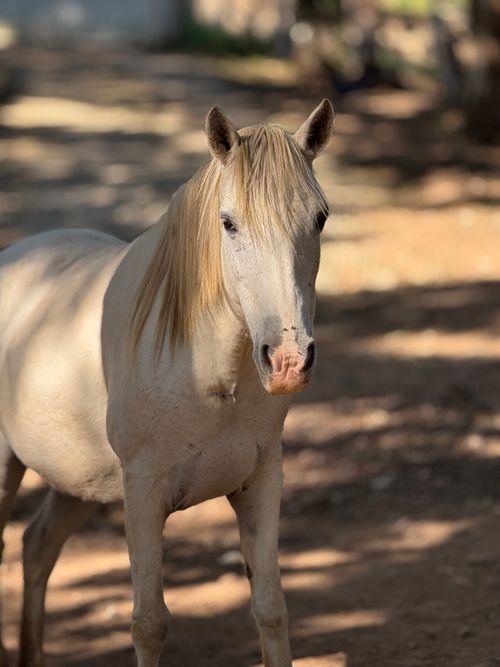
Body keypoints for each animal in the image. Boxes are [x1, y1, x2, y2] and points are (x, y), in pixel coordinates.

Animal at [0, 99, 334, 667]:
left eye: (320, 218)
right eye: (229, 223)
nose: (289, 360)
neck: (207, 376)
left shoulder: (261, 481)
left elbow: (271, 608)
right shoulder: (143, 494)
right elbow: (149, 623)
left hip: (76, 485)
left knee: (37, 547)